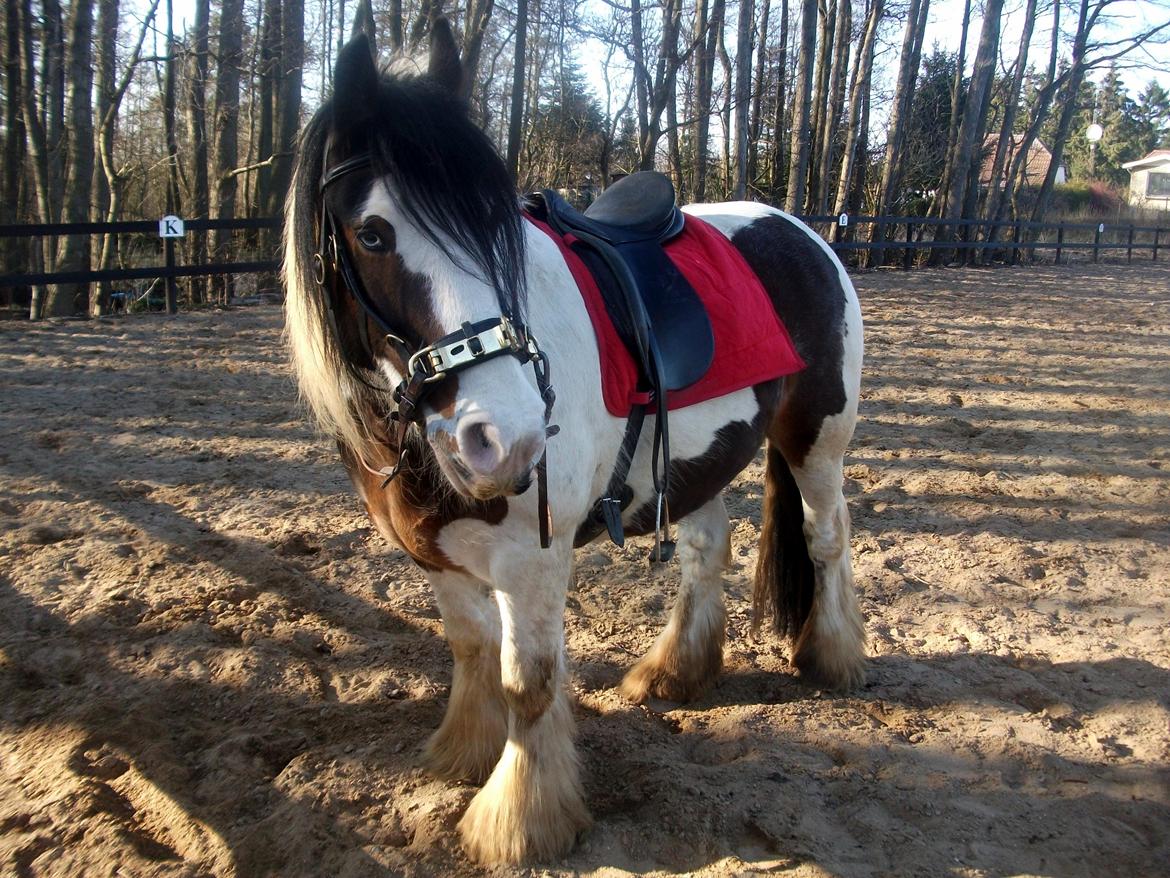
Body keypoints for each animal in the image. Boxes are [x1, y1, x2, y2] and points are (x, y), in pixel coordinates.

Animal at [284, 20, 870, 866]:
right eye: (371, 233)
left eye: (493, 231)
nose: (507, 436)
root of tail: (795, 229)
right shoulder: (437, 556)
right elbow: (469, 647)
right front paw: (463, 751)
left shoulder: (531, 560)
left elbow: (527, 681)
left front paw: (519, 821)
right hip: (695, 461)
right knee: (706, 551)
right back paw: (676, 671)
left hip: (816, 438)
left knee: (827, 539)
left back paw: (833, 656)